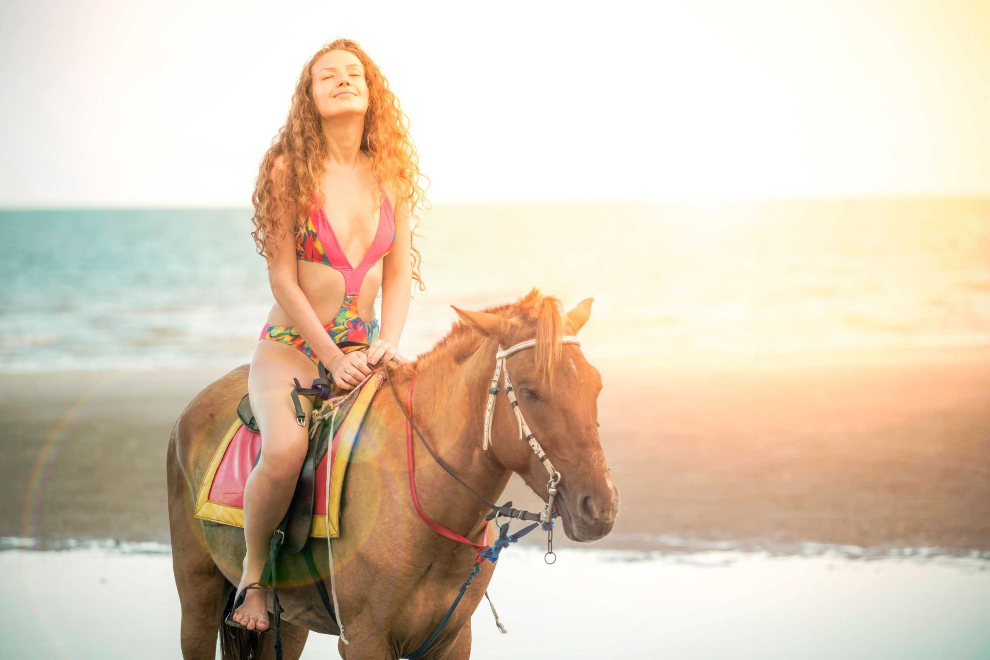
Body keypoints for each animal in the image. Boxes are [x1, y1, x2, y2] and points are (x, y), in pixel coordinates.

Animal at [170, 290, 620, 660]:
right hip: (197, 600)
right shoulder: (365, 641)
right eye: (529, 391)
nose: (600, 507)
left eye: (597, 385)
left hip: (292, 621)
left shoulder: (452, 640)